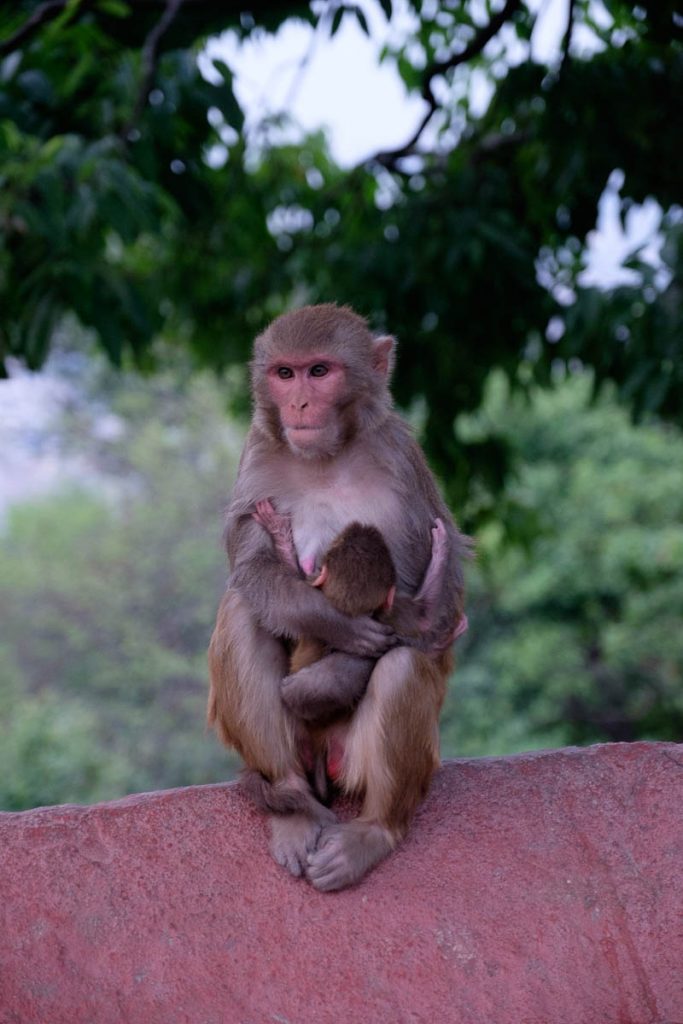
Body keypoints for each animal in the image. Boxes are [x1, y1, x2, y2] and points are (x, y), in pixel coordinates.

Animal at [208, 301, 471, 888]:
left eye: (320, 371)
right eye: (285, 373)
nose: (300, 403)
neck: (327, 458)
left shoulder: (400, 459)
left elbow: (437, 612)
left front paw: (336, 669)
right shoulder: (257, 456)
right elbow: (253, 572)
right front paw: (342, 629)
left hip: (360, 759)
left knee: (404, 665)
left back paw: (375, 831)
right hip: (297, 752)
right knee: (242, 613)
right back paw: (293, 808)